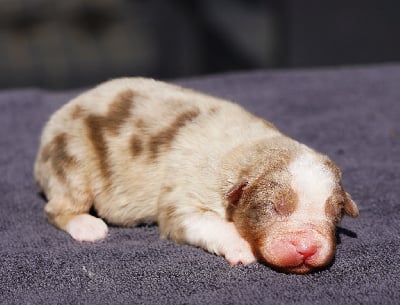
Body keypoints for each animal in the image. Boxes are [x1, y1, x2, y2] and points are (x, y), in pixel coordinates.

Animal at [35, 77, 360, 272]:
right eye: (275, 206)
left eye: (334, 213)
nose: (307, 249)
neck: (251, 148)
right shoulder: (183, 201)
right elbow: (206, 223)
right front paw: (240, 246)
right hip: (72, 161)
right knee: (57, 209)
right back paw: (87, 226)